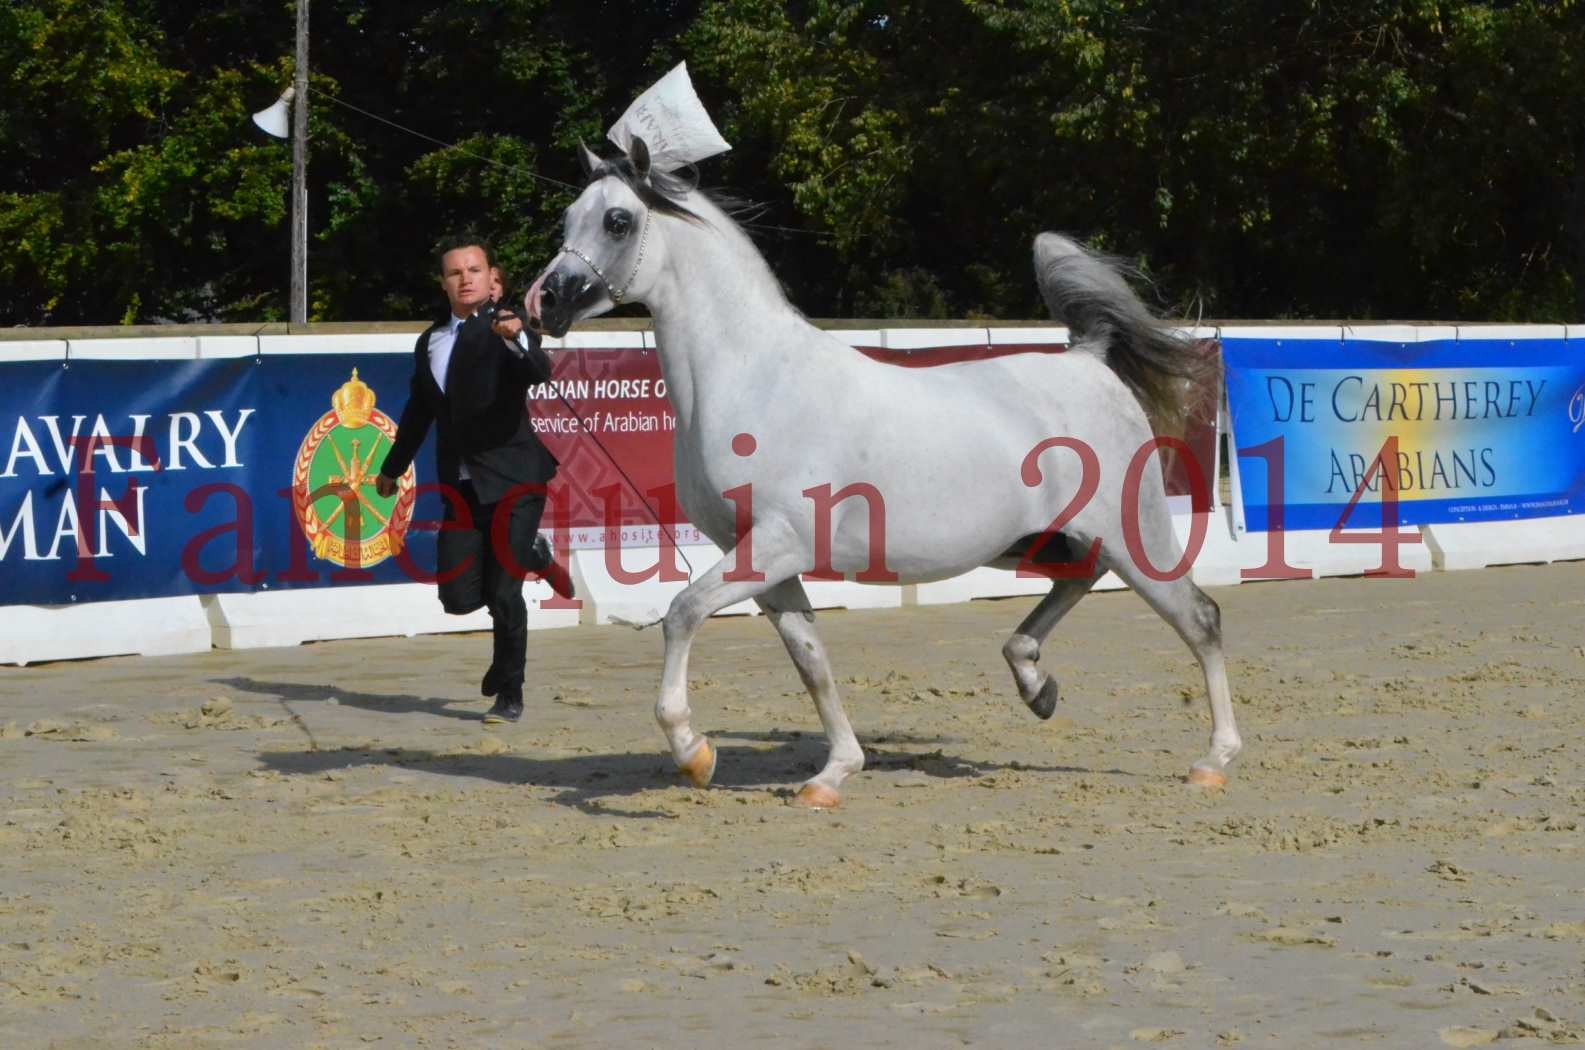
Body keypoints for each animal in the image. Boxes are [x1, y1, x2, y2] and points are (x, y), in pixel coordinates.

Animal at [526, 139, 1242, 808]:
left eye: (617, 220)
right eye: (568, 216)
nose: (544, 303)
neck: (755, 377)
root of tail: (1089, 359)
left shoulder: (777, 543)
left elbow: (680, 613)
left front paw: (693, 752)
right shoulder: (758, 555)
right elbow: (810, 659)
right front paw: (832, 774)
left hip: (1132, 533)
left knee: (1200, 618)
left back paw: (1213, 761)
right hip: (1045, 541)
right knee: (1079, 582)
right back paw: (1036, 684)